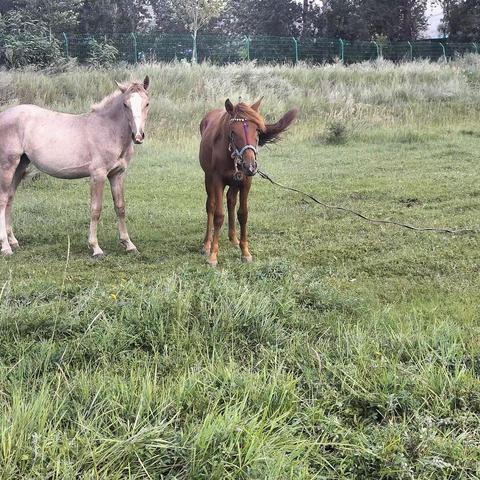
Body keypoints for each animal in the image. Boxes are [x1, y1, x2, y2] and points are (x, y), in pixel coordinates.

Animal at [0, 75, 150, 256]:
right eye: (125, 104)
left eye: (147, 103)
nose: (138, 136)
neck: (108, 130)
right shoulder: (98, 175)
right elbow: (95, 209)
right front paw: (95, 247)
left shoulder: (117, 174)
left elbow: (120, 207)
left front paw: (129, 244)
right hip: (7, 165)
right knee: (2, 200)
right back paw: (6, 247)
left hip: (20, 166)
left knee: (9, 198)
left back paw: (13, 241)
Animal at [198, 98, 296, 266]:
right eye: (233, 132)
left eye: (257, 131)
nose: (250, 166)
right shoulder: (217, 180)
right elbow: (218, 215)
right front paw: (213, 256)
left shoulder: (245, 181)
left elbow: (243, 214)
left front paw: (245, 252)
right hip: (208, 178)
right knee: (210, 206)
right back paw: (207, 244)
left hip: (235, 182)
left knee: (231, 201)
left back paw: (233, 239)